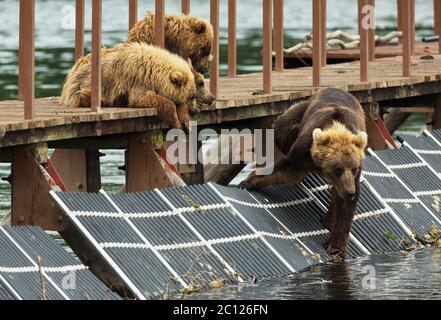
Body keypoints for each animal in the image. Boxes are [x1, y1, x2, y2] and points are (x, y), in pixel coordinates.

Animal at [59, 42, 202, 128]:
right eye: (192, 96)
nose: (196, 110)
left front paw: (185, 120)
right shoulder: (138, 80)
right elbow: (144, 98)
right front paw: (175, 121)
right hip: (89, 83)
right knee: (83, 95)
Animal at [239, 87, 366, 258]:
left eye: (354, 168)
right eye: (337, 168)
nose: (349, 192)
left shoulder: (354, 174)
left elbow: (346, 208)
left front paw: (336, 247)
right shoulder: (304, 151)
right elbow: (287, 170)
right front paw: (247, 182)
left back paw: (328, 218)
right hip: (300, 111)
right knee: (281, 129)